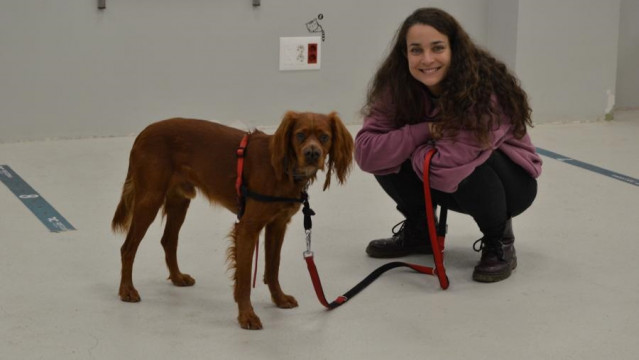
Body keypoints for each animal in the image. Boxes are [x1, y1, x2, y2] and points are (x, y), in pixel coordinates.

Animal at [112, 112, 352, 330]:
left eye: (325, 137)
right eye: (300, 135)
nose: (312, 153)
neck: (283, 168)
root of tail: (143, 132)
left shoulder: (277, 225)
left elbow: (273, 267)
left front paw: (279, 299)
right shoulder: (247, 227)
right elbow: (244, 279)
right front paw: (247, 316)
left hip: (179, 200)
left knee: (168, 240)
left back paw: (178, 277)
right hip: (149, 199)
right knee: (128, 247)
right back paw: (127, 290)